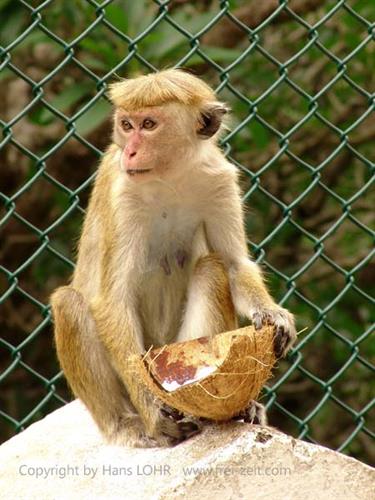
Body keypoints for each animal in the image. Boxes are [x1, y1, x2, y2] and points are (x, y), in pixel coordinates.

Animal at [50, 68, 296, 448]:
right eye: (126, 124)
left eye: (149, 124)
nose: (130, 151)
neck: (171, 177)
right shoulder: (124, 195)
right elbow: (112, 300)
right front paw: (153, 409)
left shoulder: (220, 181)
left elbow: (235, 264)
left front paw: (272, 314)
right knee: (68, 303)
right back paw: (127, 424)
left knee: (212, 268)